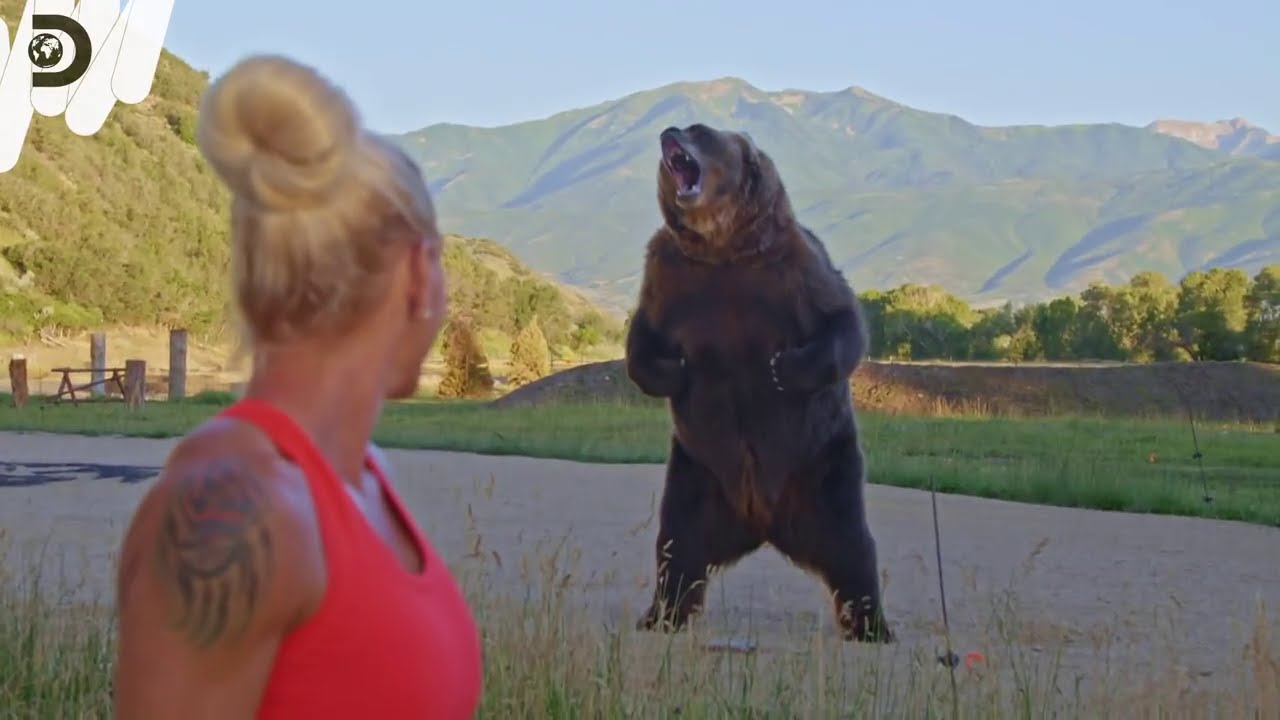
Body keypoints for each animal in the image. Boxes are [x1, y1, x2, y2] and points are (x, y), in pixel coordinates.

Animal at [624, 122, 893, 643]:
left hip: (822, 466)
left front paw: (782, 368)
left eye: (701, 131)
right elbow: (642, 338)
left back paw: (872, 626)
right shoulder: (669, 278)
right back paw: (659, 616)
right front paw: (676, 368)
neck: (723, 249)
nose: (669, 131)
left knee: (853, 546)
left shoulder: (794, 269)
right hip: (697, 474)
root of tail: (762, 520)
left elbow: (843, 321)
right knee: (678, 546)